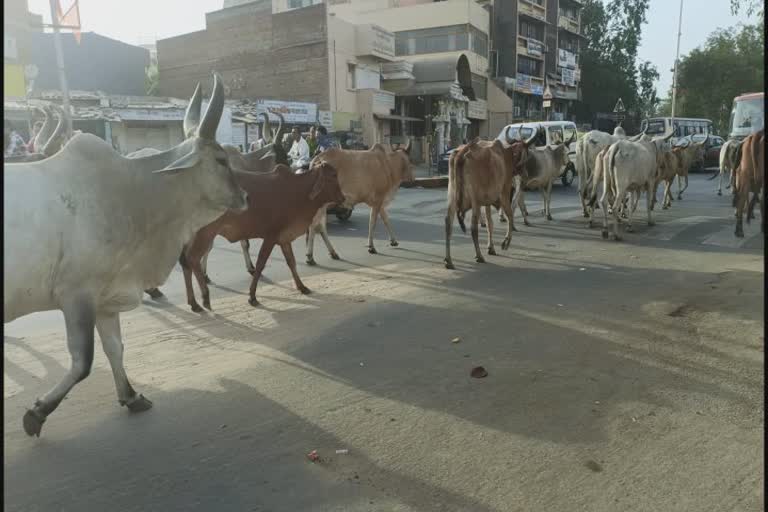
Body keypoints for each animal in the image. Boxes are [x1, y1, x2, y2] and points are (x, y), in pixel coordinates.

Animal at [3, 74, 248, 438]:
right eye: (221, 159)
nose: (245, 196)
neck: (130, 194)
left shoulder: (105, 298)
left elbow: (115, 349)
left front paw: (131, 396)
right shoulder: (77, 294)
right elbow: (83, 362)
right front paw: (38, 413)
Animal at [180, 162, 342, 310]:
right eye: (333, 175)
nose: (343, 198)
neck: (299, 190)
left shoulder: (284, 238)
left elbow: (291, 262)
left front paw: (302, 287)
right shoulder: (270, 237)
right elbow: (260, 264)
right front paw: (252, 296)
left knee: (185, 261)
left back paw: (193, 303)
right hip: (205, 234)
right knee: (192, 259)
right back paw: (205, 297)